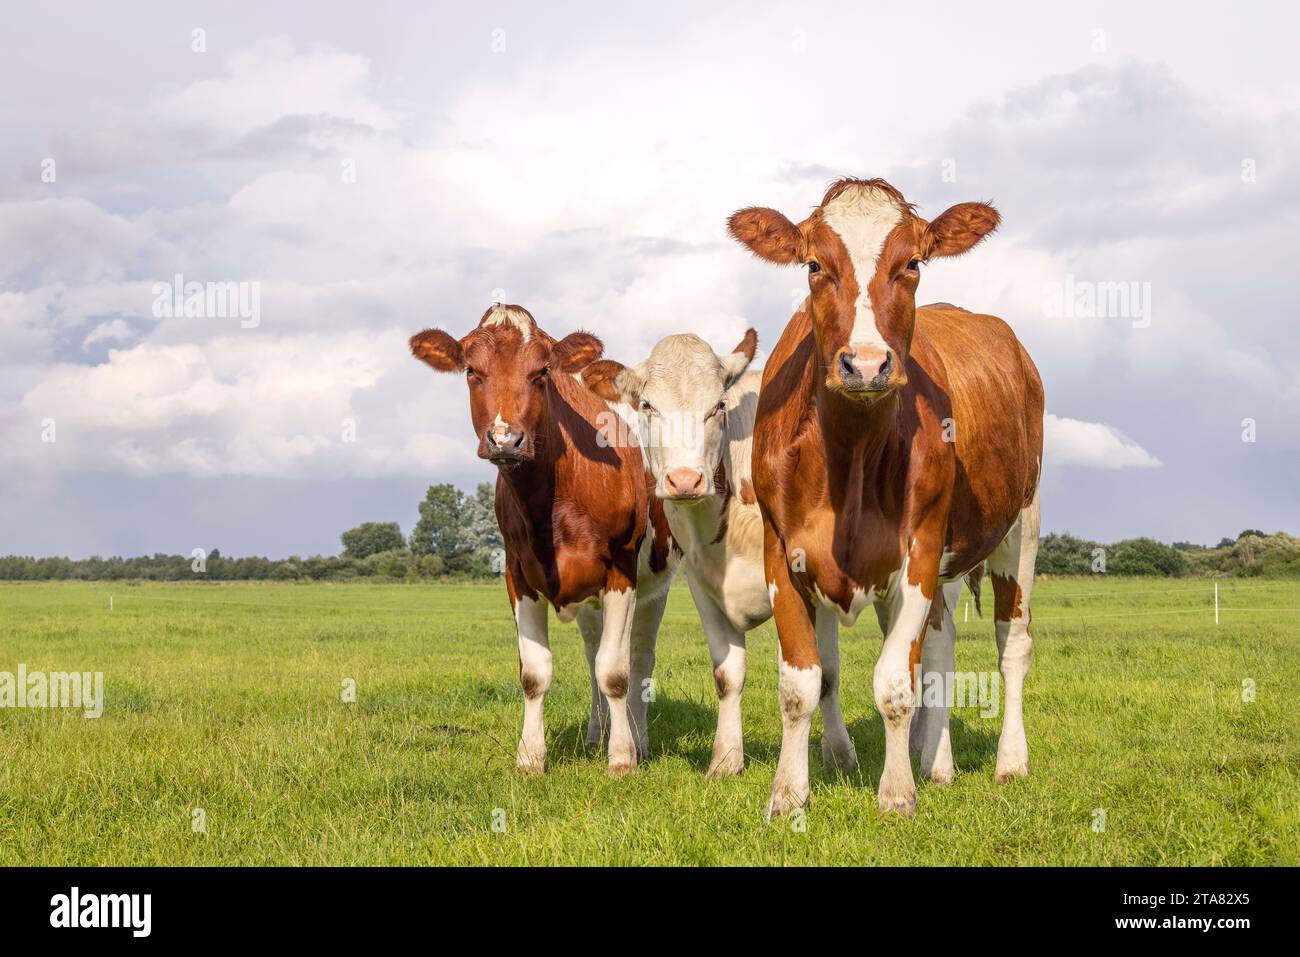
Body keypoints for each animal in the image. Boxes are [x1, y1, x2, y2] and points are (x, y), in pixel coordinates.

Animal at [408, 306, 676, 780]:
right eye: (471, 371)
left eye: (542, 372)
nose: (504, 439)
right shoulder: (518, 573)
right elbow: (535, 672)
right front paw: (531, 757)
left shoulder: (621, 569)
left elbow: (616, 672)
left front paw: (622, 758)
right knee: (592, 656)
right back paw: (595, 736)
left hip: (653, 585)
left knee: (639, 657)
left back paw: (638, 741)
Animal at [733, 179, 1045, 816]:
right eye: (814, 264)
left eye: (913, 263)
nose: (867, 364)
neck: (850, 454)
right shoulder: (781, 552)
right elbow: (801, 683)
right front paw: (788, 795)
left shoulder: (920, 550)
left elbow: (895, 683)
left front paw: (897, 792)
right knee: (943, 646)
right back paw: (938, 762)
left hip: (1021, 524)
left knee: (1013, 643)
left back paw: (1009, 761)